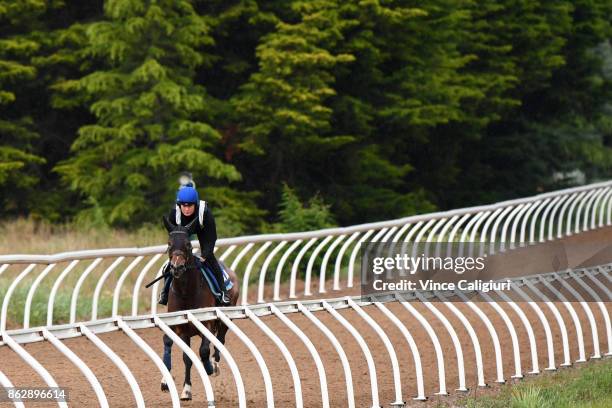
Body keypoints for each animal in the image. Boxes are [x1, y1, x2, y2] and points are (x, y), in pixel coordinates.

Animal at [159, 215, 238, 400]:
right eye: (169, 244)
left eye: (188, 244)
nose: (177, 267)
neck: (186, 292)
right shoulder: (181, 328)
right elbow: (186, 358)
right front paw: (186, 389)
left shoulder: (207, 323)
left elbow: (203, 350)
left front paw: (208, 367)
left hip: (226, 319)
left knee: (220, 341)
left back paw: (214, 365)